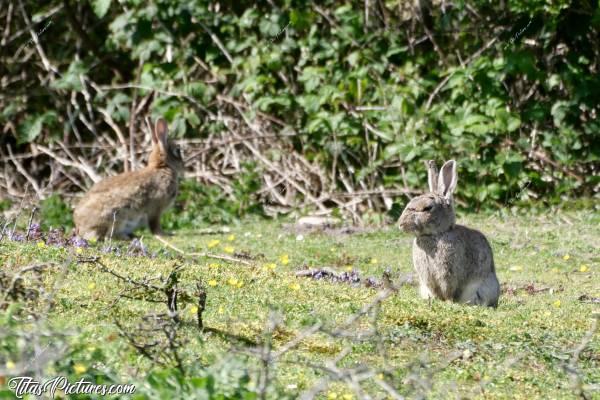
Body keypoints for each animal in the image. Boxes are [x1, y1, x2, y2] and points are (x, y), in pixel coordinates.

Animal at [398, 159, 502, 306]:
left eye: (427, 208)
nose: (401, 224)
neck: (435, 235)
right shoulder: (428, 277)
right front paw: (435, 300)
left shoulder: (449, 274)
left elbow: (449, 291)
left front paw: (448, 302)